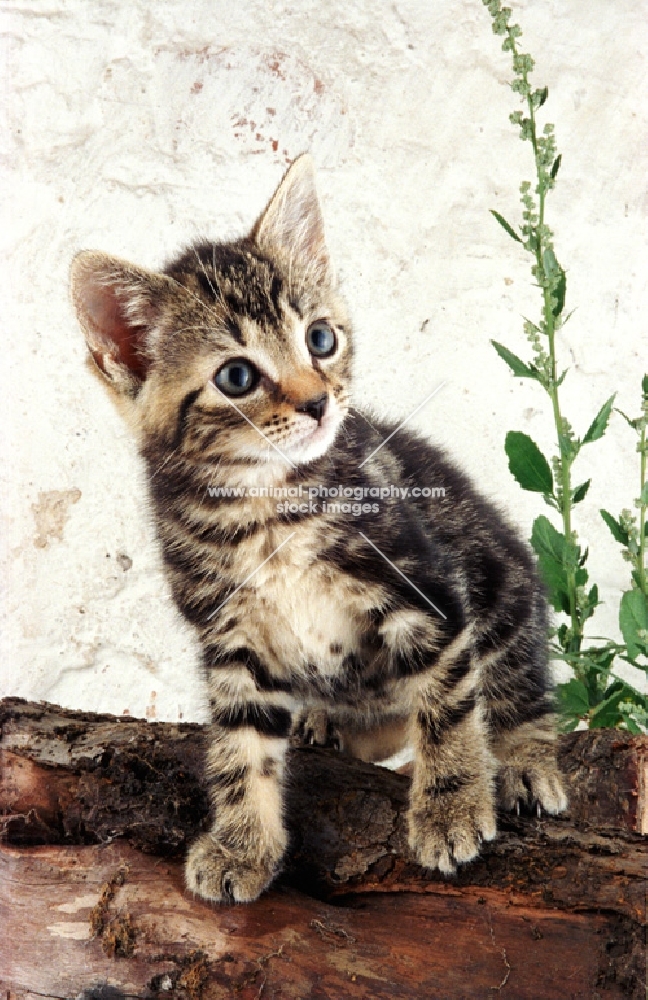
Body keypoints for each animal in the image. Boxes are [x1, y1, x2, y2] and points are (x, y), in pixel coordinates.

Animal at [72, 156, 568, 908]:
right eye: (237, 376)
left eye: (320, 339)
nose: (317, 402)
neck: (266, 509)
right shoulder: (231, 639)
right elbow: (240, 751)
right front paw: (241, 844)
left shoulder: (424, 588)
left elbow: (449, 704)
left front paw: (451, 805)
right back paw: (326, 721)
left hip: (501, 572)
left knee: (516, 682)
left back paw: (524, 760)